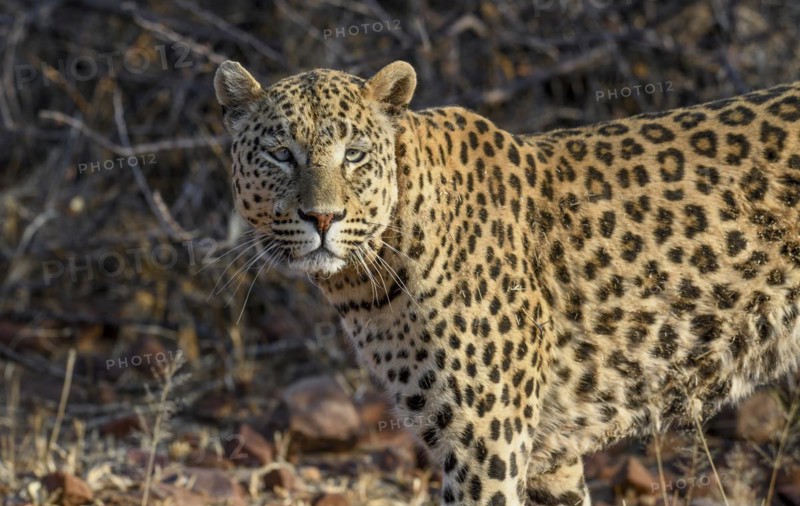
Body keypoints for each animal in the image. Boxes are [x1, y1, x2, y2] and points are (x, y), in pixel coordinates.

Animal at [214, 60, 800, 505]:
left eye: (353, 154)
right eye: (281, 154)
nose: (322, 217)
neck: (366, 281)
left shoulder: (486, 444)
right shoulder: (547, 458)